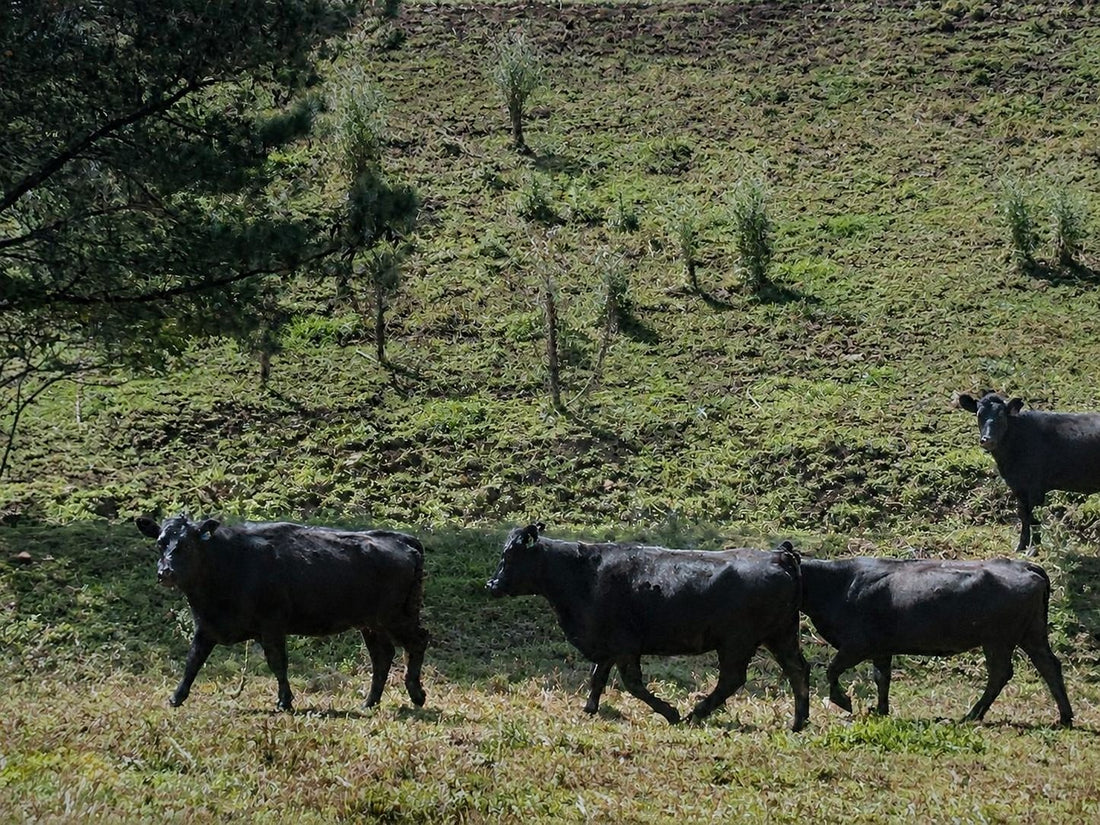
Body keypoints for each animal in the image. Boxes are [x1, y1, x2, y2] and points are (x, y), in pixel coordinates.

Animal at [136, 514, 430, 711]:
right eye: (160, 543)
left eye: (188, 544)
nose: (165, 572)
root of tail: (401, 538)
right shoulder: (207, 626)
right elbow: (193, 661)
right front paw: (176, 697)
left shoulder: (272, 624)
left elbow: (277, 662)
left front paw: (284, 702)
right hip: (371, 624)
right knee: (382, 656)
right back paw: (369, 703)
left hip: (397, 616)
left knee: (418, 640)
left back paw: (416, 694)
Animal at [486, 524, 810, 730]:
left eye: (509, 556)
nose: (492, 584)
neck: (582, 572)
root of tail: (778, 555)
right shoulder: (607, 644)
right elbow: (597, 676)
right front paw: (589, 708)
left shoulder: (624, 645)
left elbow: (632, 683)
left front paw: (670, 712)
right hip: (781, 635)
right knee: (798, 671)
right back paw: (798, 723)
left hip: (737, 642)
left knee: (732, 679)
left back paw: (694, 714)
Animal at [799, 555, 1073, 727]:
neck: (838, 584)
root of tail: (1025, 566)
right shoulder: (881, 648)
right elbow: (882, 679)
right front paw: (880, 710)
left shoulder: (857, 645)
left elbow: (832, 670)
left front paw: (843, 701)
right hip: (1031, 634)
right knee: (1049, 666)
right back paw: (1065, 717)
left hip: (998, 640)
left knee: (1001, 673)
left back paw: (972, 715)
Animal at [956, 391, 1100, 555]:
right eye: (979, 414)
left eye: (1001, 415)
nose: (988, 439)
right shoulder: (1018, 486)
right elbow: (1025, 514)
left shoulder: (1034, 487)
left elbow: (1027, 515)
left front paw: (1027, 546)